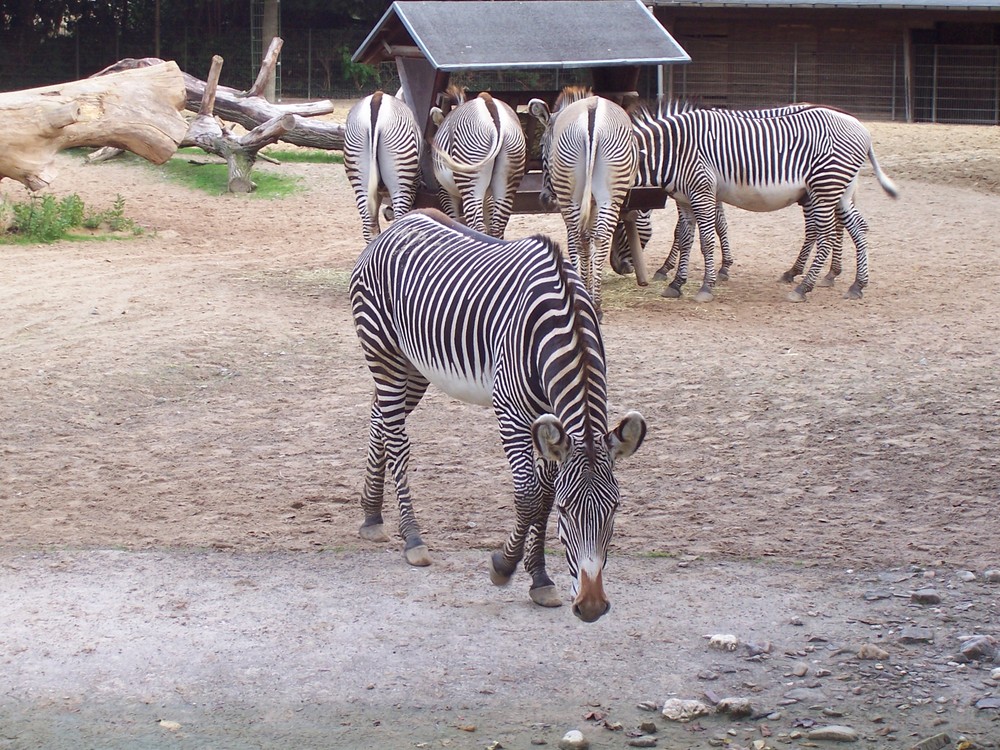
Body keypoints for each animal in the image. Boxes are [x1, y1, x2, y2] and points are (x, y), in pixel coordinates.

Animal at [344, 90, 422, 244]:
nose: (387, 214)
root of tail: (377, 98)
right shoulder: (413, 185)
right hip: (401, 180)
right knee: (397, 223)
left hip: (360, 179)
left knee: (369, 228)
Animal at [352, 210, 648, 624]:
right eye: (568, 511)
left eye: (615, 508)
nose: (591, 607)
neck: (563, 325)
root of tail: (398, 223)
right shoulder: (510, 413)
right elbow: (528, 496)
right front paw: (503, 567)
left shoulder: (550, 425)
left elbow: (542, 496)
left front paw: (540, 579)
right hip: (385, 354)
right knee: (397, 438)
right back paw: (412, 537)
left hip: (413, 368)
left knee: (379, 418)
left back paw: (372, 516)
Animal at [428, 89, 528, 239]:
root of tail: (489, 103)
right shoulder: (488, 197)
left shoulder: (444, 191)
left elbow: (453, 220)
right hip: (509, 172)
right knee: (497, 228)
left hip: (470, 177)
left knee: (478, 226)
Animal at [528, 88, 636, 320]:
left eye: (541, 146)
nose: (545, 200)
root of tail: (592, 112)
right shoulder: (594, 203)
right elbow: (593, 240)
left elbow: (572, 243)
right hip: (611, 193)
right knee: (599, 238)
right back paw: (596, 304)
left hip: (571, 196)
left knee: (580, 239)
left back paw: (588, 298)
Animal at [632, 102, 900, 302]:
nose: (625, 269)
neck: (673, 150)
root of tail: (860, 127)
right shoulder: (686, 199)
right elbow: (686, 238)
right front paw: (676, 283)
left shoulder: (703, 192)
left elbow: (707, 240)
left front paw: (707, 286)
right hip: (839, 190)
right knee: (857, 228)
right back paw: (856, 285)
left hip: (824, 187)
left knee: (825, 234)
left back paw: (803, 287)